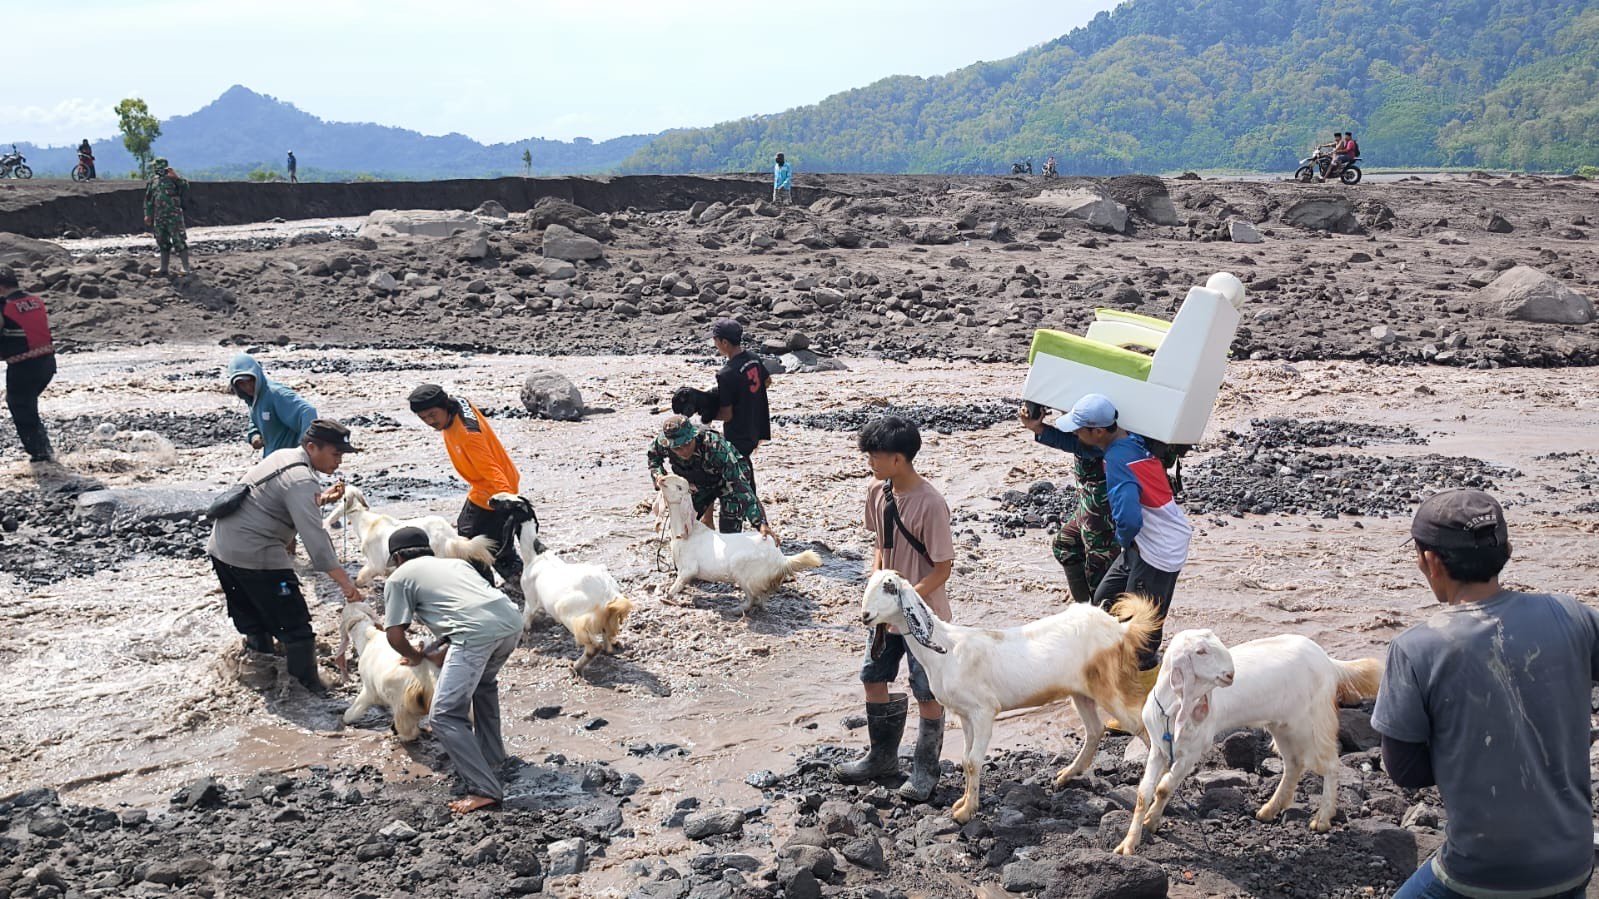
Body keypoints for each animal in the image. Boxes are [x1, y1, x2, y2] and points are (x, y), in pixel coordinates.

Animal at [339, 602, 440, 741]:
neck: (368, 637)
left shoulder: (369, 689)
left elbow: (354, 710)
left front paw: (345, 719)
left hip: (402, 702)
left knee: (409, 731)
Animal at [490, 493, 633, 674]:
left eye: (508, 503)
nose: (491, 500)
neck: (535, 555)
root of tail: (608, 596)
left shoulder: (530, 600)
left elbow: (525, 623)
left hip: (570, 614)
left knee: (593, 647)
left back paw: (575, 667)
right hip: (603, 620)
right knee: (606, 637)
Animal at [654, 474, 822, 613]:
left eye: (679, 487)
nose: (661, 479)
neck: (685, 532)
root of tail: (781, 559)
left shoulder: (689, 569)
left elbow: (677, 585)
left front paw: (668, 596)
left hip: (742, 573)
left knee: (752, 598)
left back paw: (735, 610)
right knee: (761, 599)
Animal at [860, 569, 1161, 824]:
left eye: (889, 587)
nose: (865, 615)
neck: (947, 649)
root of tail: (1120, 629)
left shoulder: (983, 711)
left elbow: (973, 761)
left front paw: (966, 813)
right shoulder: (965, 715)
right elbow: (967, 760)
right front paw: (962, 804)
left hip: (1109, 688)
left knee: (1142, 728)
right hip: (1081, 692)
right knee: (1095, 730)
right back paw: (1065, 776)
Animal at [1114, 629, 1383, 855]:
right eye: (1201, 651)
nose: (1230, 674)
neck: (1174, 708)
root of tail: (1327, 660)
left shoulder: (1193, 751)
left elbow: (1163, 787)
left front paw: (1151, 821)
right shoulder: (1159, 748)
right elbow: (1144, 792)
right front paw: (1129, 842)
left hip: (1312, 722)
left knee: (1329, 764)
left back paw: (1322, 818)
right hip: (1283, 725)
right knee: (1294, 763)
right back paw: (1269, 810)